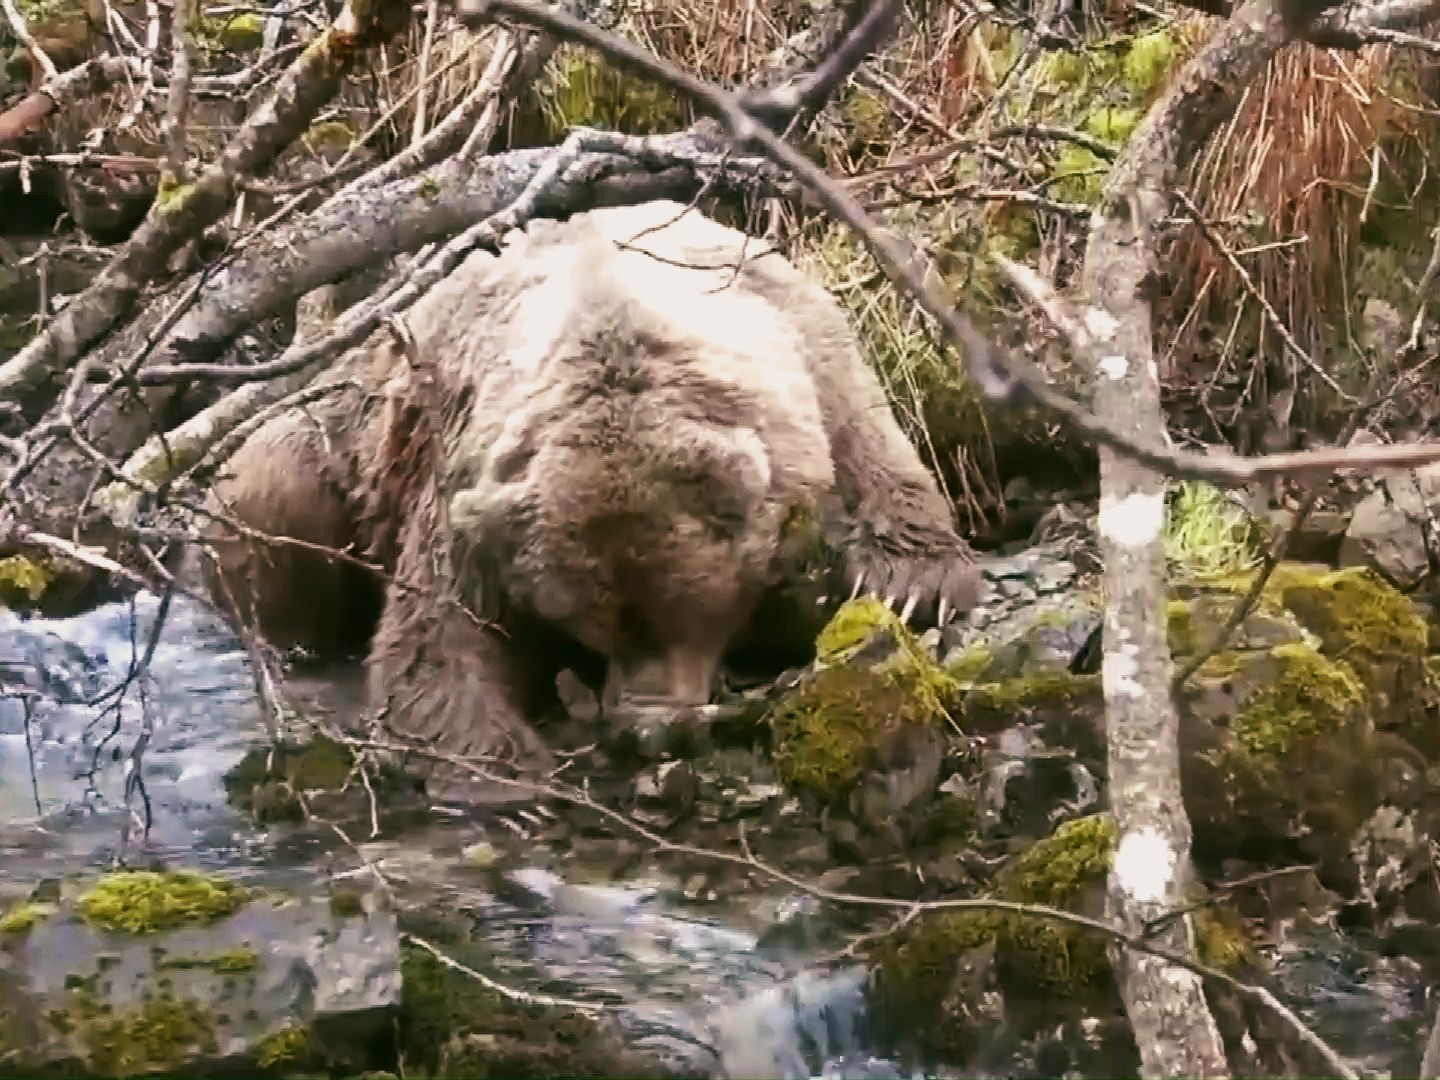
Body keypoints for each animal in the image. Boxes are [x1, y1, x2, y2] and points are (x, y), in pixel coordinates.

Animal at [203, 201, 984, 806]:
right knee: (272, 514)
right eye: (593, 622)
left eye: (689, 613)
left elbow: (874, 462)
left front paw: (911, 585)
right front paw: (500, 776)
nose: (647, 725)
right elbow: (437, 639)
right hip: (328, 439)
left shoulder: (811, 356)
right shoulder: (468, 479)